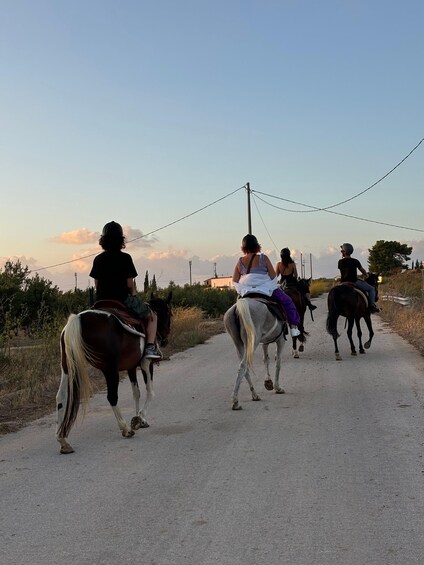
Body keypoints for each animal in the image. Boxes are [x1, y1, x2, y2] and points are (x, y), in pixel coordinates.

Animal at [56, 294, 172, 452]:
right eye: (169, 314)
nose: (165, 340)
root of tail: (78, 318)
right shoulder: (146, 363)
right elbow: (150, 392)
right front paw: (140, 418)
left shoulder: (131, 367)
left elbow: (136, 393)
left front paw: (140, 420)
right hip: (109, 370)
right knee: (112, 397)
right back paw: (125, 429)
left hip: (67, 367)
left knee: (61, 397)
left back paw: (63, 440)